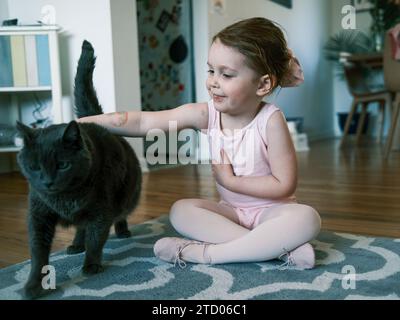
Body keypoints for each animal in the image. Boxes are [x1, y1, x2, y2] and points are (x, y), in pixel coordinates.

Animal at [17, 40, 142, 300]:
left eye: (63, 165)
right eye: (34, 167)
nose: (48, 182)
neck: (65, 199)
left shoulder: (101, 211)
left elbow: (96, 239)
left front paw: (91, 266)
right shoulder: (38, 214)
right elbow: (38, 251)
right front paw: (34, 285)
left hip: (127, 195)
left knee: (120, 214)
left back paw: (122, 232)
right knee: (81, 228)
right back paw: (76, 245)